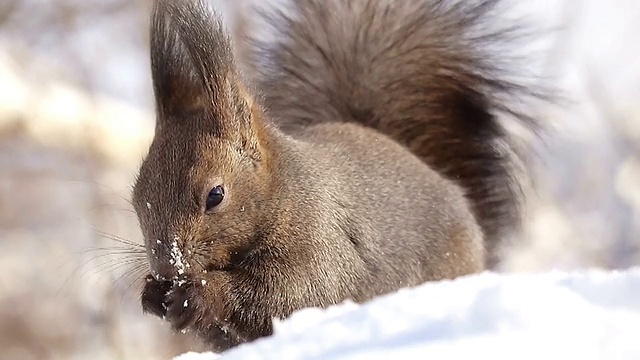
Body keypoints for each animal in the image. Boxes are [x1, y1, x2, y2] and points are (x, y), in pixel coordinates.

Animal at [132, 0, 544, 352]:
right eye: (137, 199)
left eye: (215, 195)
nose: (167, 267)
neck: (285, 193)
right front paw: (152, 294)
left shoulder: (324, 240)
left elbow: (296, 294)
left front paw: (201, 292)